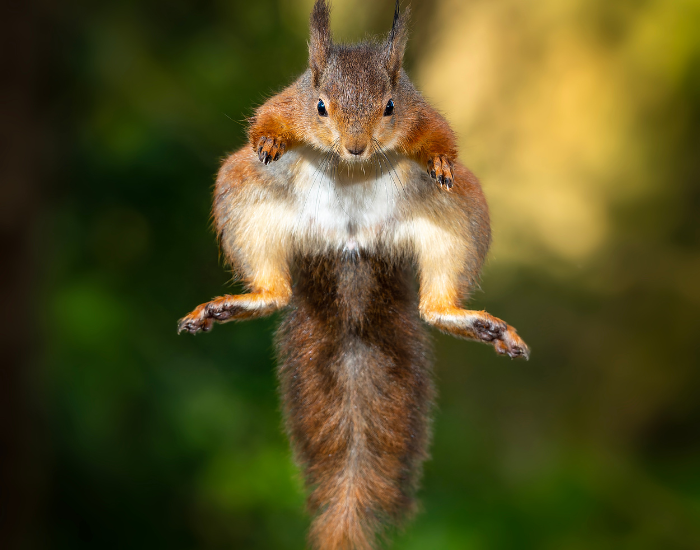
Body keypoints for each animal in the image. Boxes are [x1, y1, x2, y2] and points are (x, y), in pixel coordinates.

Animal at [178, 1, 529, 549]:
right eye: (321, 106)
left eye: (389, 106)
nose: (357, 147)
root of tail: (351, 245)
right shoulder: (290, 102)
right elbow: (267, 117)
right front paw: (268, 139)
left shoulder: (421, 114)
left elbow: (440, 137)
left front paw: (440, 159)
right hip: (243, 198)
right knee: (275, 291)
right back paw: (231, 305)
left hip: (459, 218)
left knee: (434, 305)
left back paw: (475, 321)